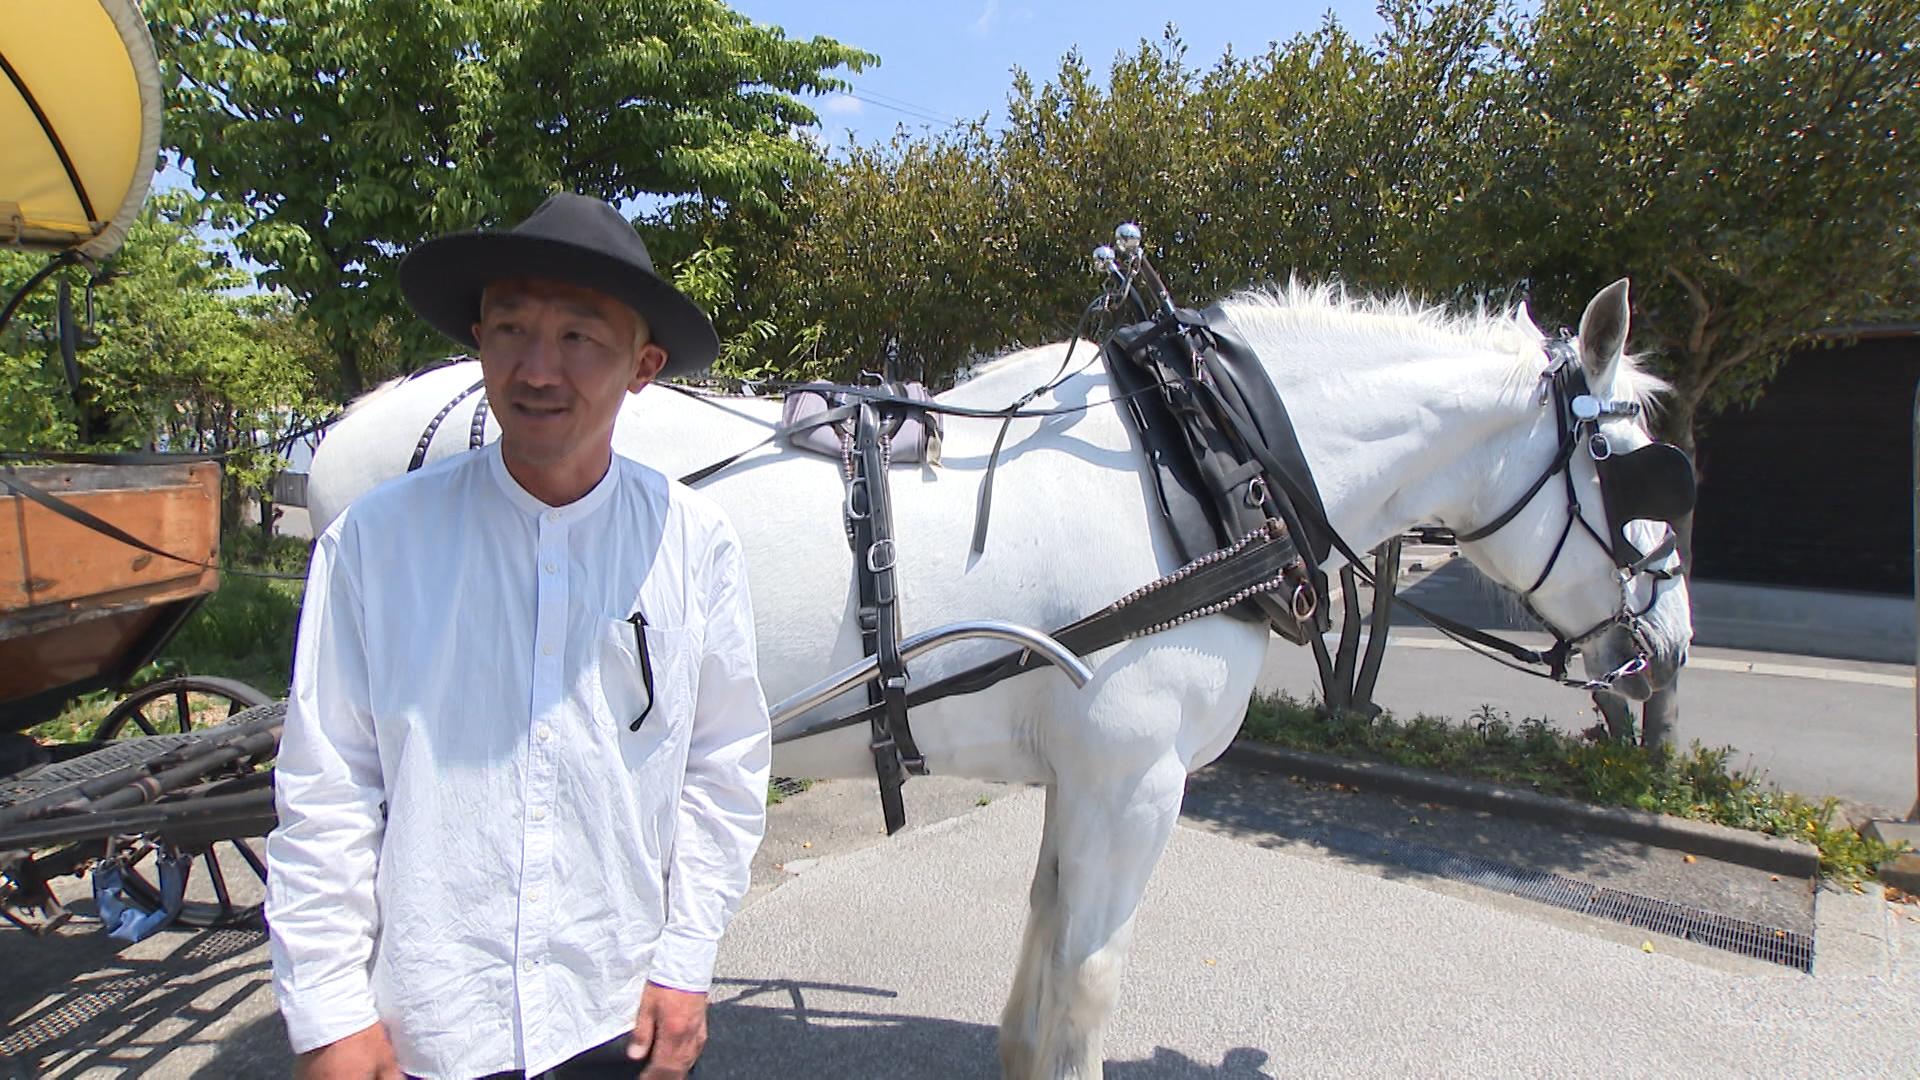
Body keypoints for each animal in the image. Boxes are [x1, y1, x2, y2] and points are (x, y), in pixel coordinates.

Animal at [305, 278, 1690, 1079]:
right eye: (1646, 476)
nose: (1666, 655)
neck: (1197, 468)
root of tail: (356, 428)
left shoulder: (1088, 777)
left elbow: (1042, 940)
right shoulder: (1137, 781)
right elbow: (1090, 983)